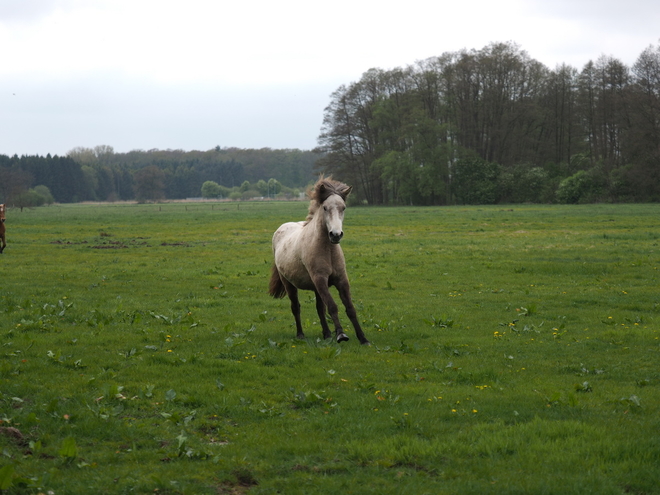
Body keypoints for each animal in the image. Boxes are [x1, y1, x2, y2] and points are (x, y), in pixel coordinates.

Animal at [270, 177, 372, 344]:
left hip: (315, 287)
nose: (336, 234)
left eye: (343, 208)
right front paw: (341, 335)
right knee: (296, 307)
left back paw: (327, 334)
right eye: (325, 208)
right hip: (289, 283)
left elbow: (349, 308)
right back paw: (300, 334)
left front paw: (363, 338)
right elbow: (332, 306)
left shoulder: (341, 280)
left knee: (319, 308)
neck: (327, 250)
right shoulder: (320, 279)